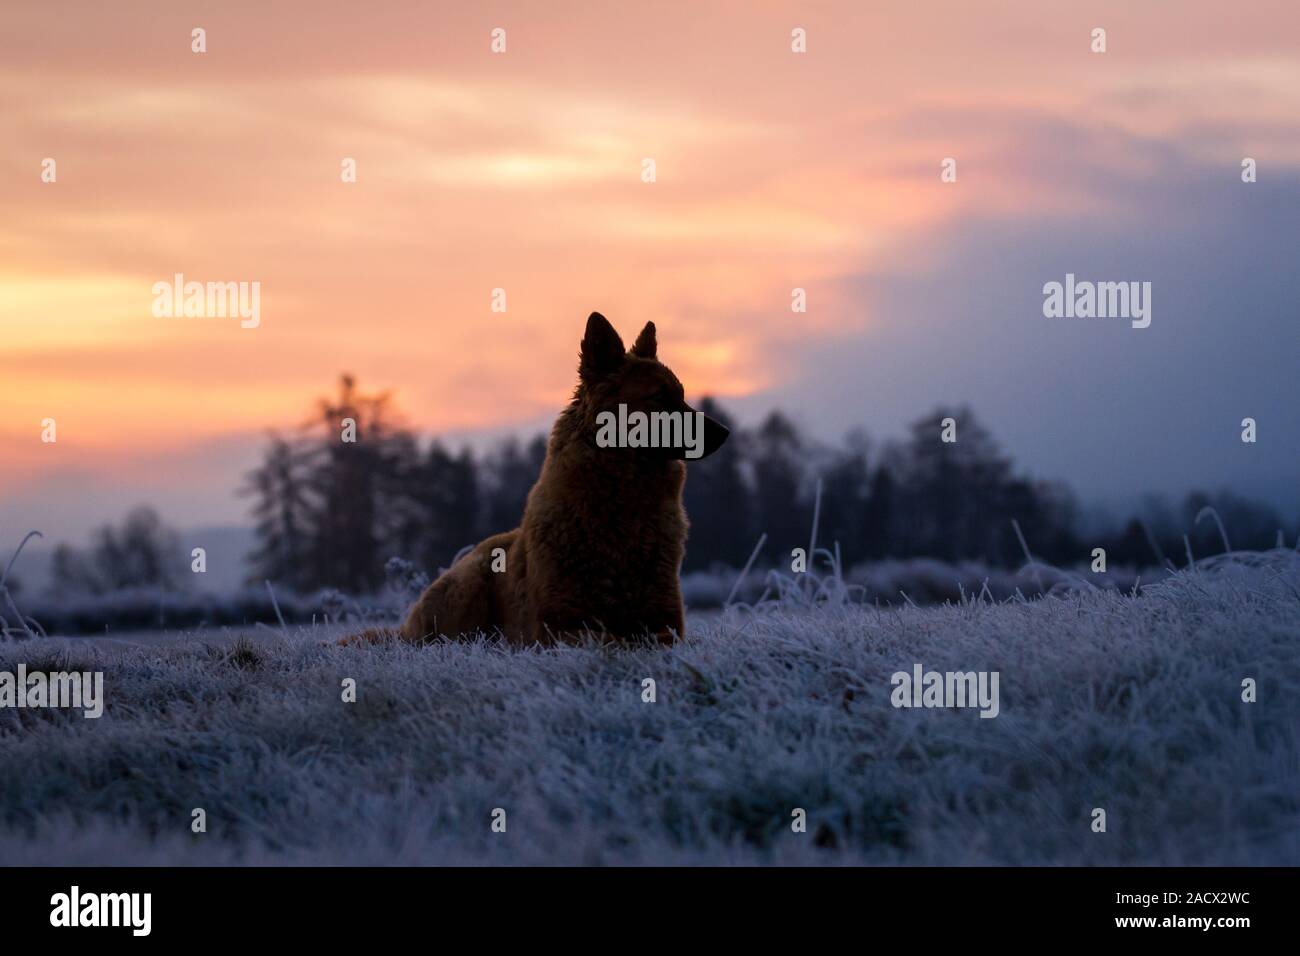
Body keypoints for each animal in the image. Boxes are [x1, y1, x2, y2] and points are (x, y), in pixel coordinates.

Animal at [345, 310, 733, 647]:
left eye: (681, 395)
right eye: (659, 397)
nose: (725, 433)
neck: (622, 512)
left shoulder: (667, 620)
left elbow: (659, 638)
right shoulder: (554, 628)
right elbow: (608, 637)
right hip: (468, 586)